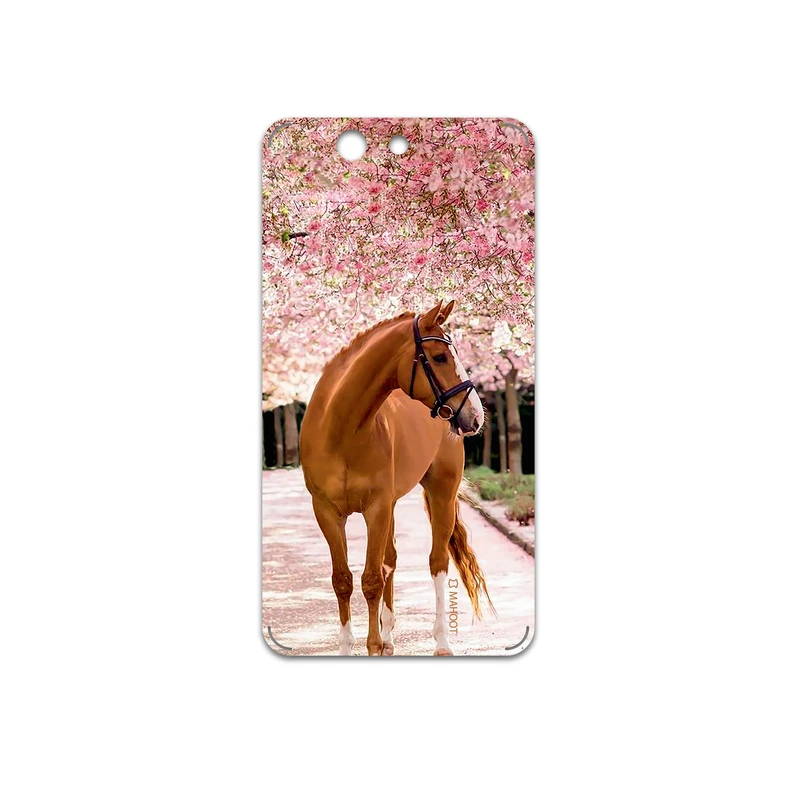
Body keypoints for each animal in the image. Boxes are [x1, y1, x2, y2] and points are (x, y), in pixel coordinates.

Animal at [299, 300, 493, 656]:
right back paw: (390, 636)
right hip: (390, 506)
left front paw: (373, 645)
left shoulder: (375, 508)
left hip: (441, 493)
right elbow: (343, 580)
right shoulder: (327, 512)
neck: (341, 431)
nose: (475, 415)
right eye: (440, 356)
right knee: (390, 560)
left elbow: (372, 579)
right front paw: (354, 645)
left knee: (437, 562)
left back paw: (441, 642)